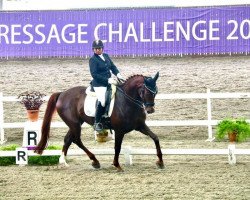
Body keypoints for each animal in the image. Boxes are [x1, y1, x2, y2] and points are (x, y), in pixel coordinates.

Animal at [34, 71, 164, 171]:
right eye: (145, 91)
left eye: (156, 91)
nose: (150, 110)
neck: (128, 101)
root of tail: (62, 94)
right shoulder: (119, 130)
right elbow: (117, 147)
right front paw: (117, 165)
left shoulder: (140, 126)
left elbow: (155, 138)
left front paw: (160, 162)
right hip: (74, 124)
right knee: (76, 140)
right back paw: (95, 161)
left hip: (76, 123)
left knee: (68, 139)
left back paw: (63, 162)